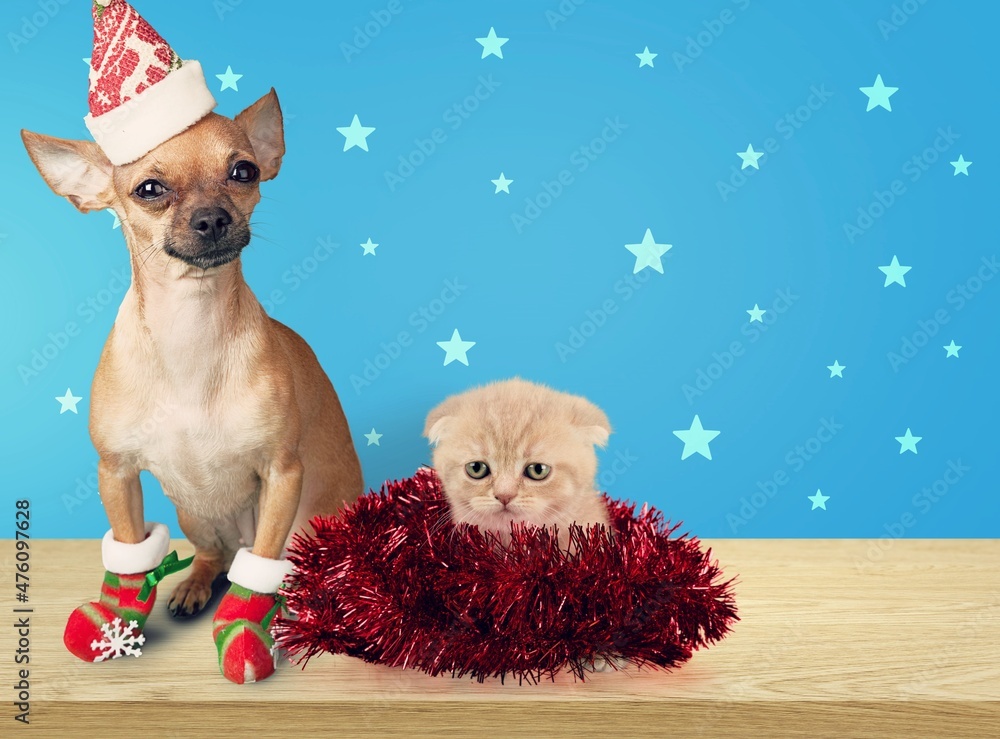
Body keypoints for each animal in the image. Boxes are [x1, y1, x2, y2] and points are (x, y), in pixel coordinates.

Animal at [21, 91, 364, 620]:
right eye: (149, 189)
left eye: (244, 171)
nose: (213, 218)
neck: (190, 327)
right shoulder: (116, 473)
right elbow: (129, 547)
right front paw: (120, 620)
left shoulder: (282, 473)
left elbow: (262, 560)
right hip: (194, 513)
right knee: (214, 555)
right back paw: (195, 585)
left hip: (304, 524)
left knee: (268, 562)